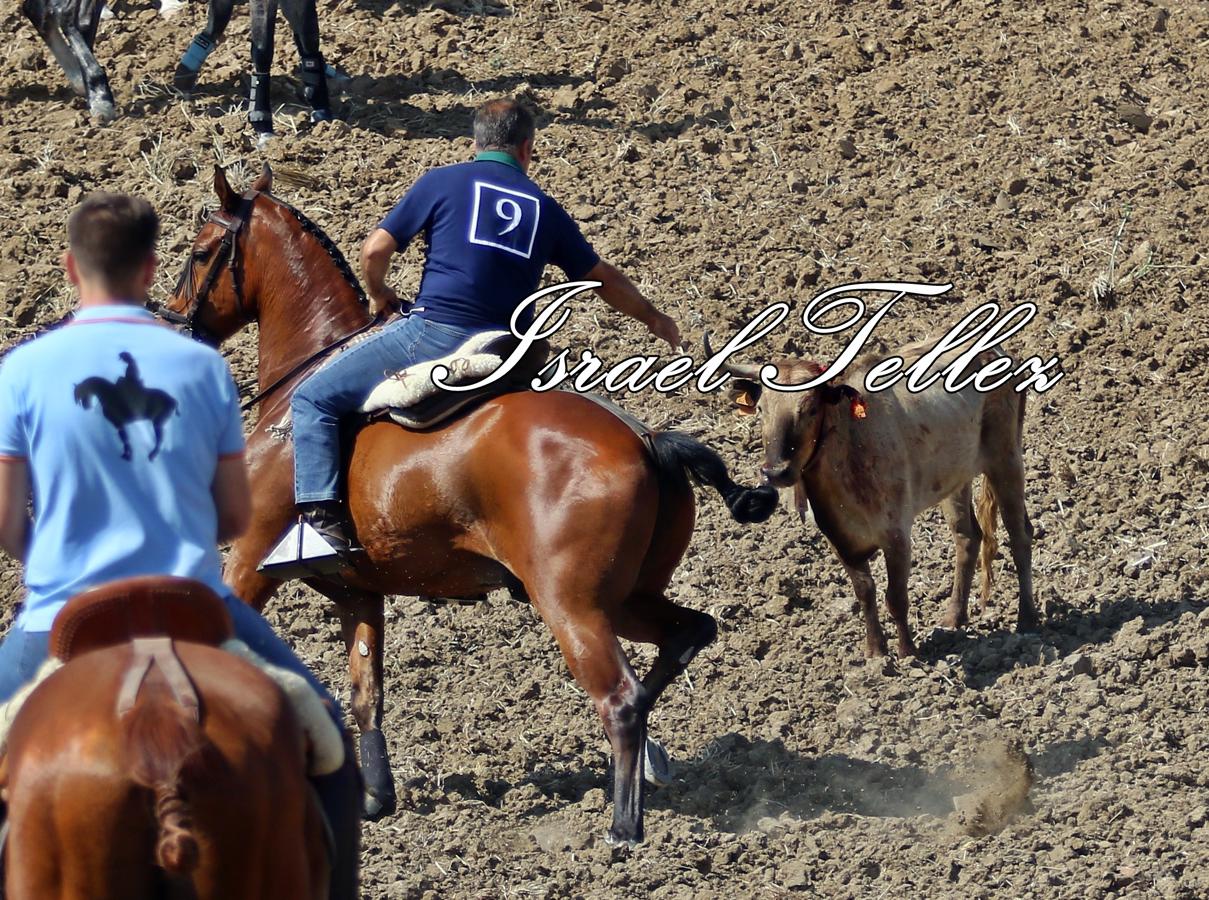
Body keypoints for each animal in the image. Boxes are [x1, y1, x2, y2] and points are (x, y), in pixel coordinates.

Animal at [163, 163, 773, 841]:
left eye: (201, 251)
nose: (172, 319)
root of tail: (645, 440)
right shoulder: (357, 592)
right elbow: (366, 695)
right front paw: (375, 801)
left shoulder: (248, 562)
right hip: (626, 597)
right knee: (685, 636)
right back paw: (653, 763)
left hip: (573, 606)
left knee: (621, 697)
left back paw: (622, 827)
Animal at [706, 336, 1039, 653]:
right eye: (762, 409)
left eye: (810, 409)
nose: (775, 471)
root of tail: (997, 352)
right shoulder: (839, 539)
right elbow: (865, 592)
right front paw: (875, 652)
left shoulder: (896, 533)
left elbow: (896, 597)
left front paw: (907, 653)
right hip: (957, 479)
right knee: (967, 537)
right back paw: (953, 618)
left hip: (1006, 459)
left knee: (1020, 534)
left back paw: (1027, 620)